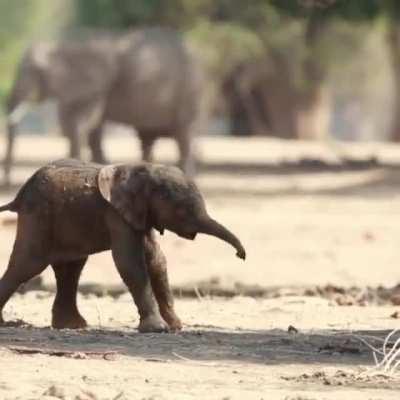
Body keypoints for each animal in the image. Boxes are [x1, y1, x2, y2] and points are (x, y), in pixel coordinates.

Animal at [0, 159, 245, 332]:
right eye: (181, 211)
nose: (240, 255)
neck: (143, 170)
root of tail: (18, 195)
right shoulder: (116, 214)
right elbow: (130, 262)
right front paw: (158, 330)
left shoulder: (140, 214)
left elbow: (156, 260)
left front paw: (176, 327)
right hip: (38, 218)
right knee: (26, 267)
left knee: (70, 269)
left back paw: (73, 326)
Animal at [4, 27, 206, 184]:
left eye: (35, 71)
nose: (6, 184)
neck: (61, 46)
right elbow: (82, 125)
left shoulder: (96, 84)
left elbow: (82, 122)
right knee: (147, 138)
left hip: (189, 90)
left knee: (184, 135)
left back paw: (186, 177)